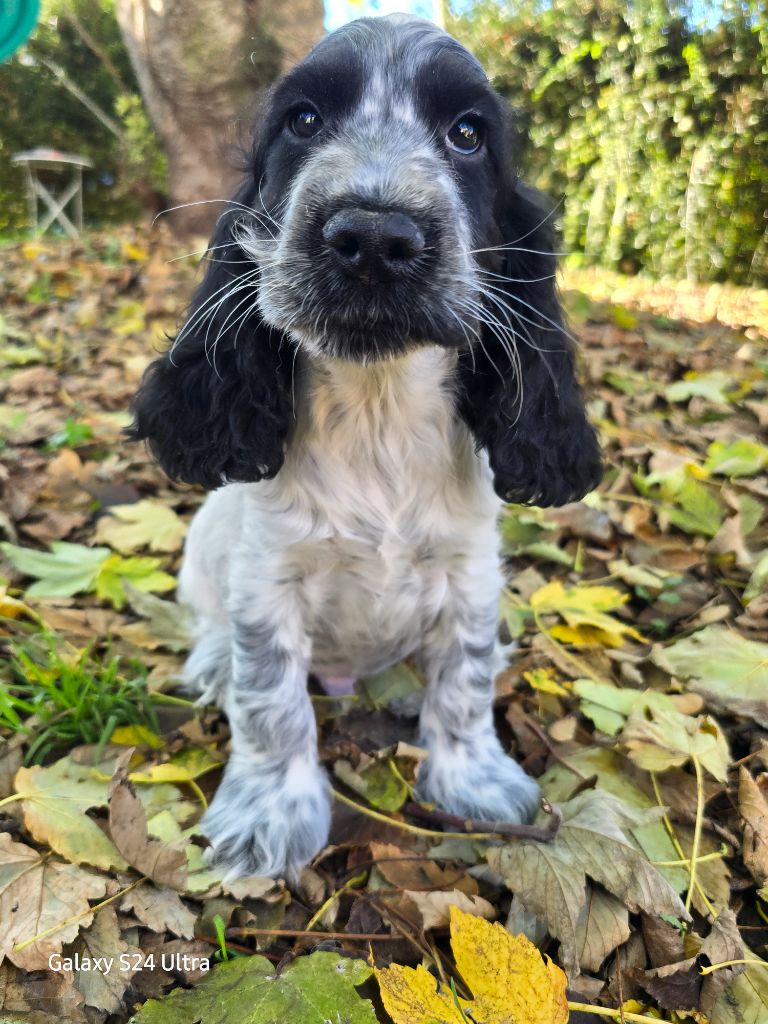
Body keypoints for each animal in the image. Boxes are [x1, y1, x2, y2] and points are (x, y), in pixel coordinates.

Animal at [129, 14, 606, 880]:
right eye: (303, 120)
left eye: (467, 134)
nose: (376, 236)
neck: (377, 410)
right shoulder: (267, 582)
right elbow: (272, 701)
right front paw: (267, 816)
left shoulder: (471, 573)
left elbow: (465, 682)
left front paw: (474, 782)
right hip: (207, 535)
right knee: (211, 624)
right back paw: (212, 664)